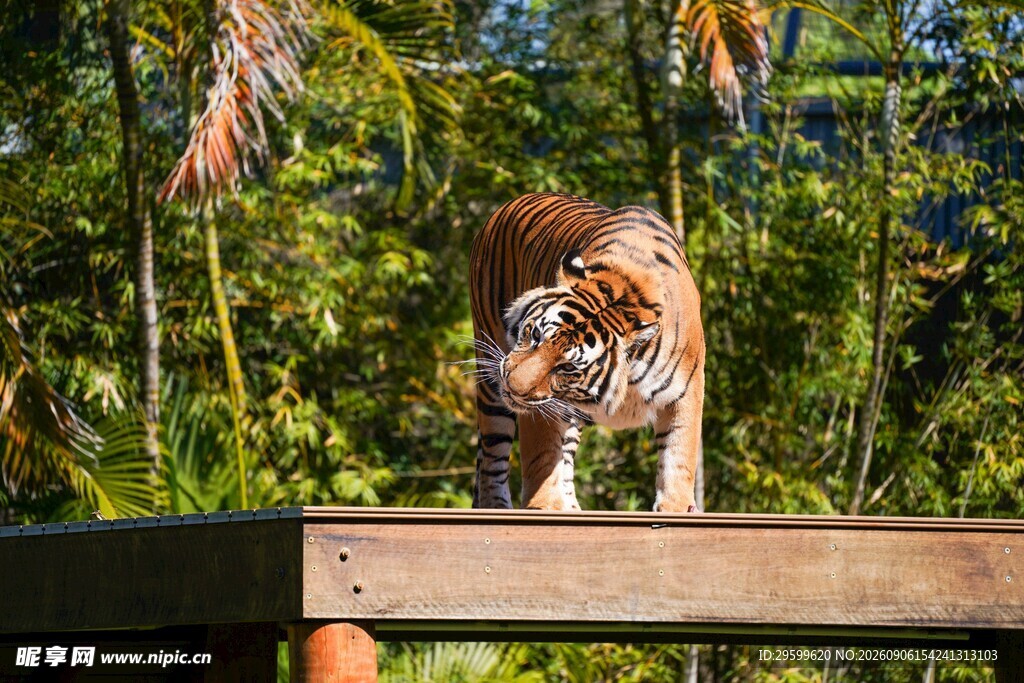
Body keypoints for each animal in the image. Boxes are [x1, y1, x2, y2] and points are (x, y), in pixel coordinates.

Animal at [469, 192, 705, 512]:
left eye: (567, 367)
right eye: (535, 335)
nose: (513, 388)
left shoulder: (686, 391)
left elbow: (678, 457)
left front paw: (675, 510)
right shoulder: (541, 406)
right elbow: (542, 458)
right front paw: (544, 507)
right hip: (490, 371)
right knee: (493, 459)